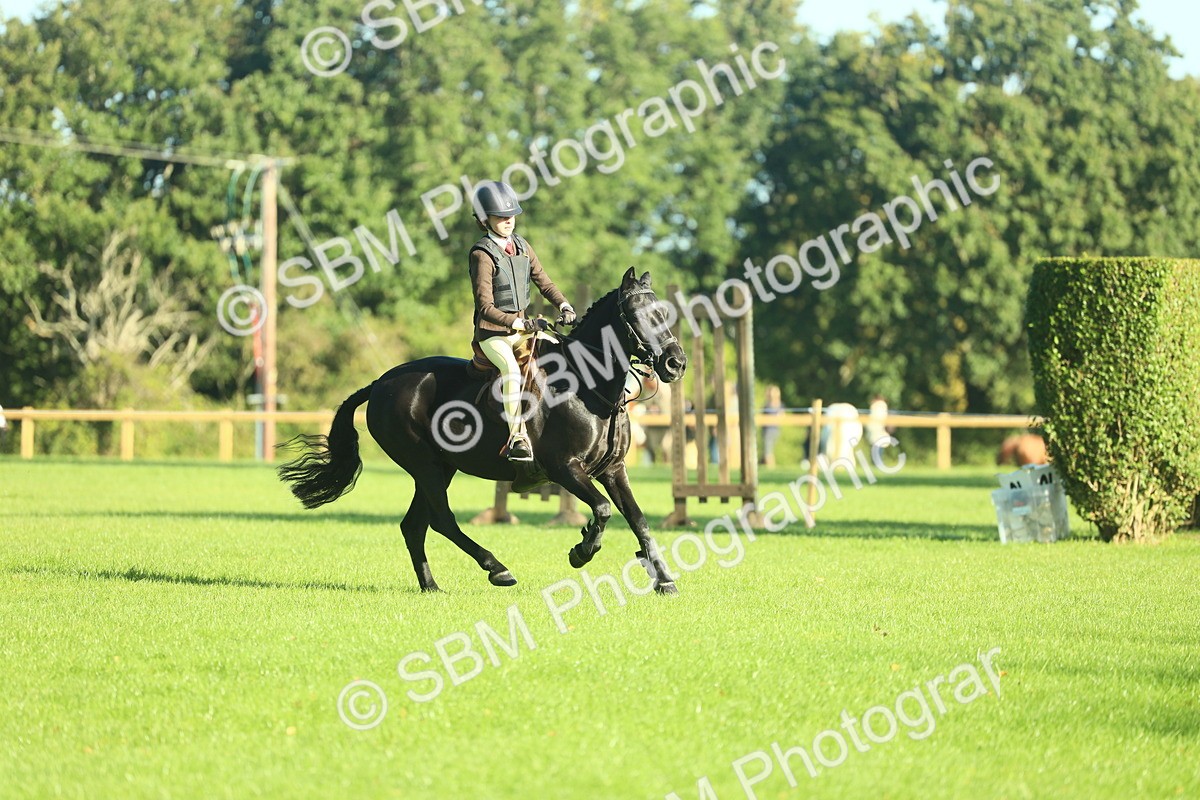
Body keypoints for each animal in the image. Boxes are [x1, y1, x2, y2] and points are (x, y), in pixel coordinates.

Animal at [278, 268, 688, 594]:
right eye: (636, 315)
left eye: (663, 314)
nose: (675, 363)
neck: (588, 388)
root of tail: (380, 382)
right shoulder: (565, 469)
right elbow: (602, 510)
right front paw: (581, 551)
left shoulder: (613, 470)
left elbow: (638, 520)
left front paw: (664, 579)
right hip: (425, 465)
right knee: (441, 521)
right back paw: (498, 569)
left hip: (440, 468)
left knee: (415, 525)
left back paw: (431, 586)